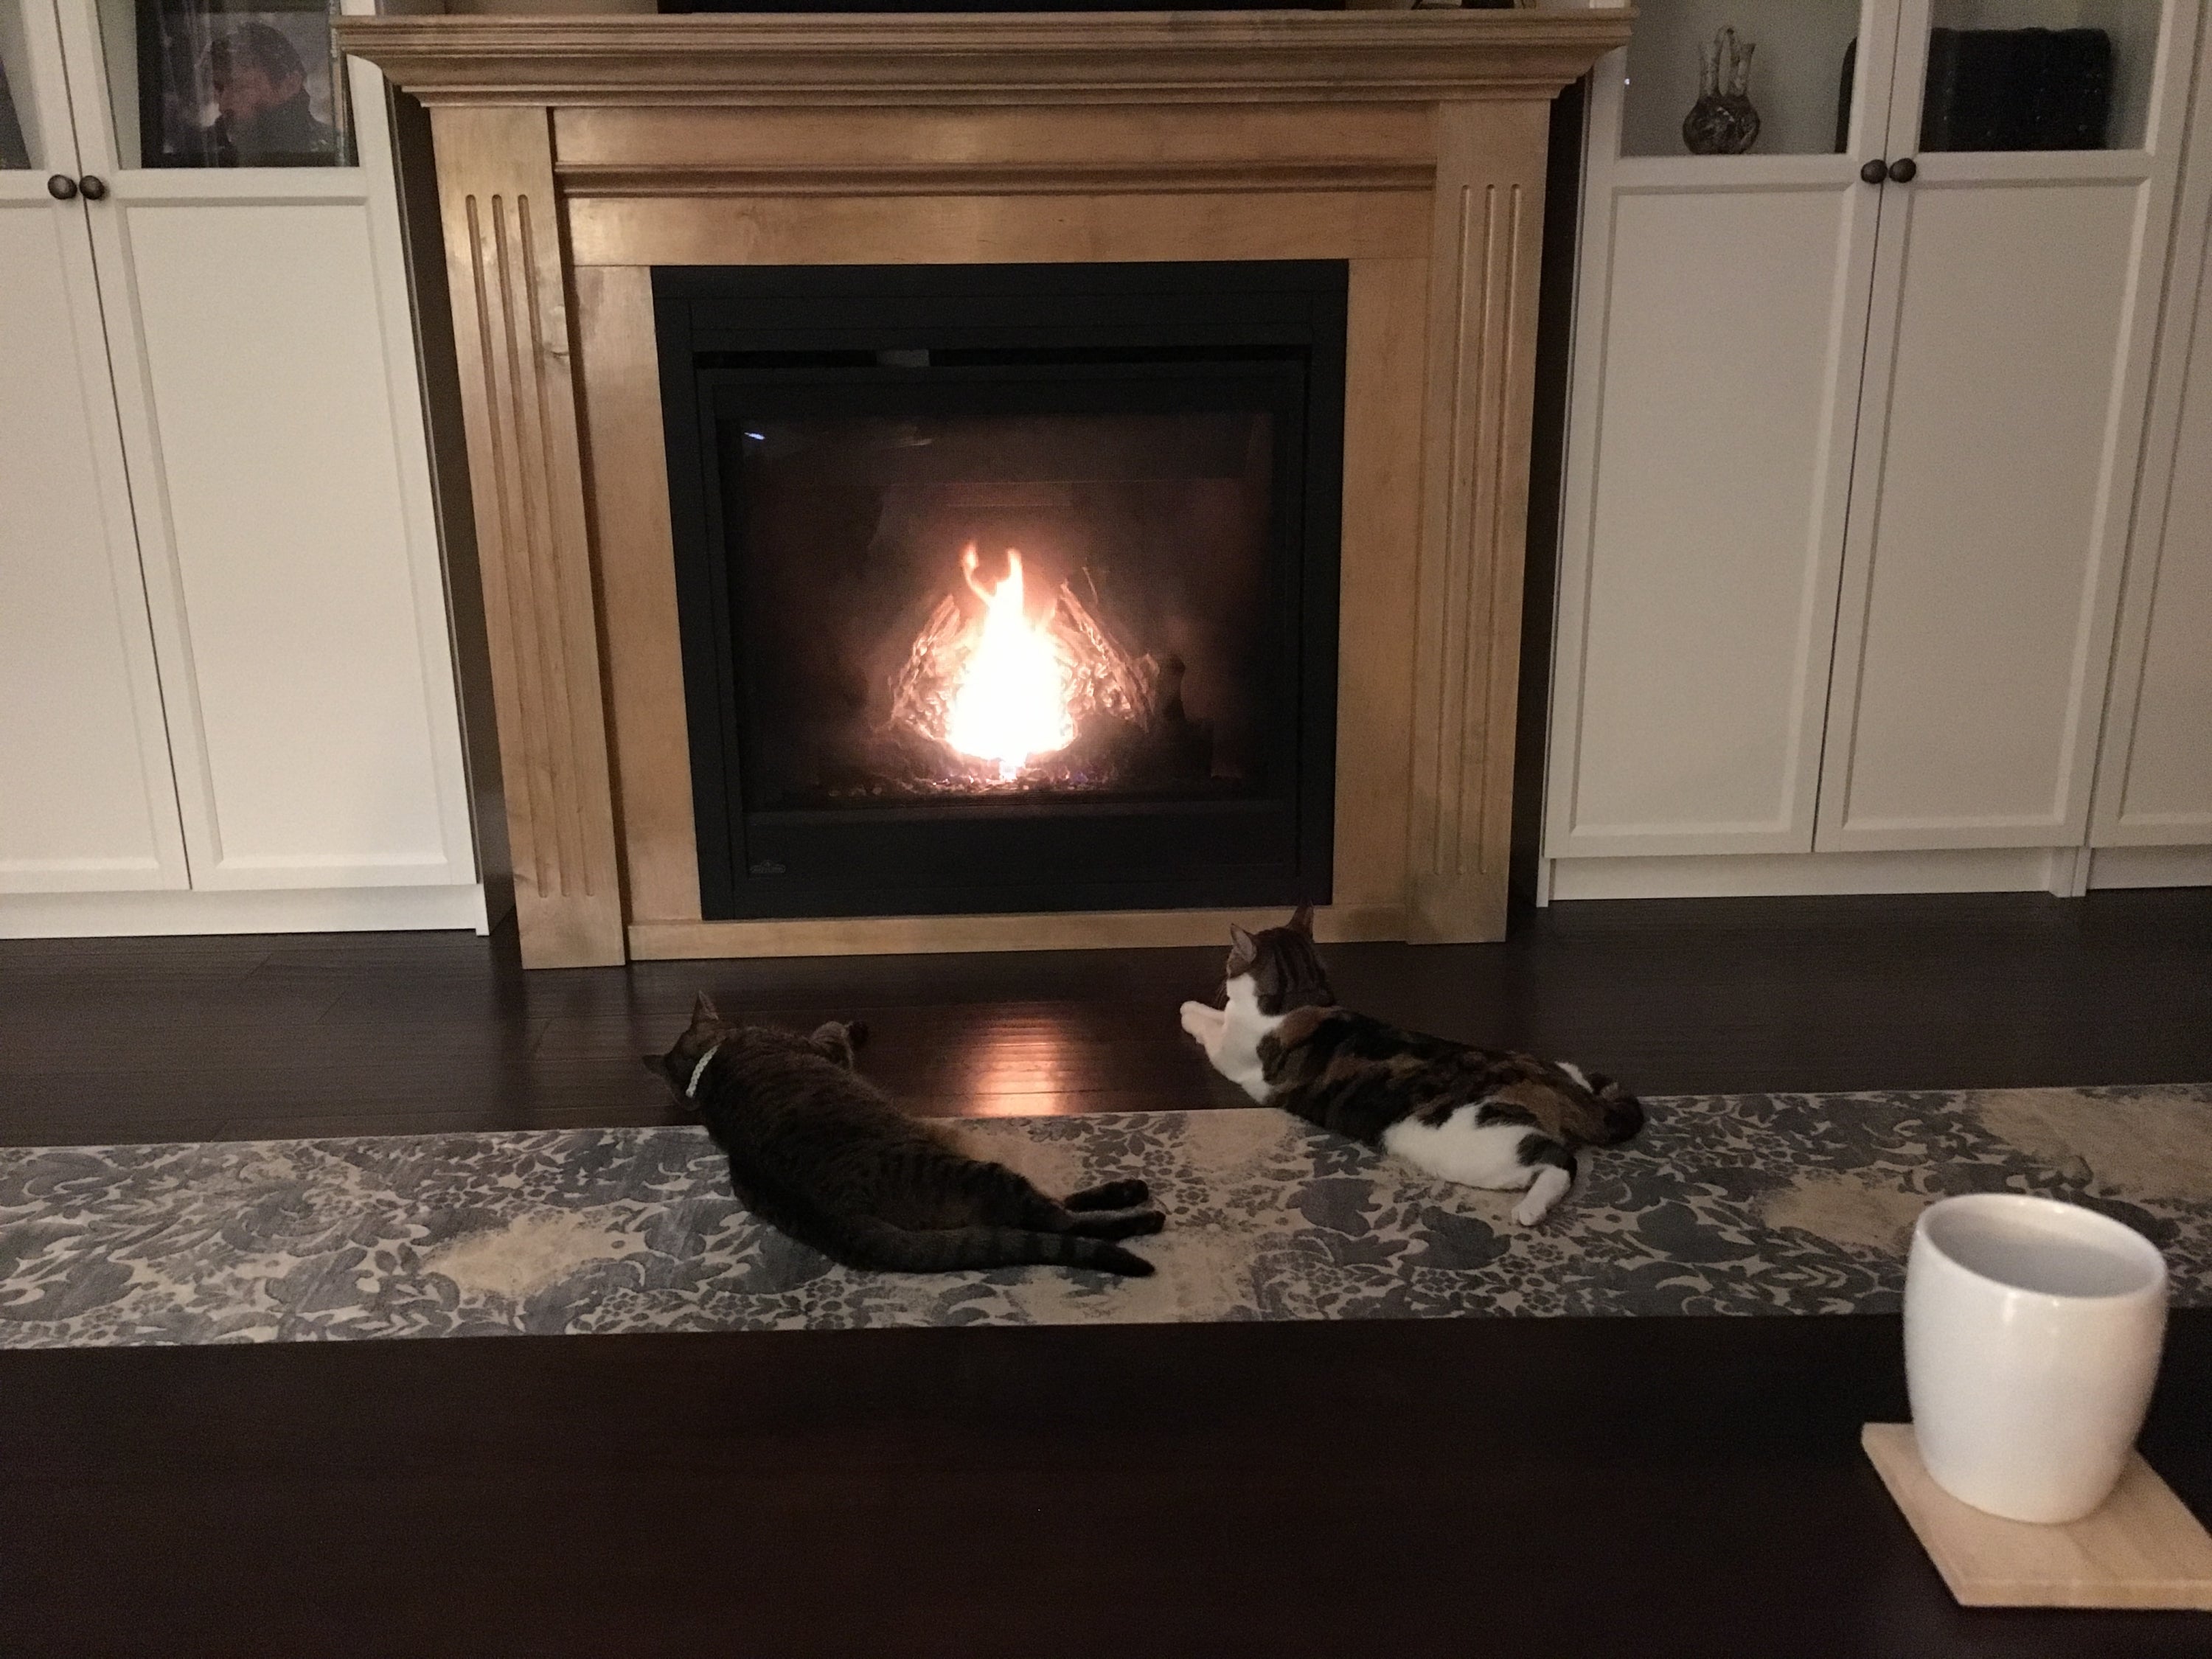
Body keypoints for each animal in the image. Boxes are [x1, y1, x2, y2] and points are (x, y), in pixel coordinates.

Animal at [646, 995, 1168, 1283]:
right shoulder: (822, 1047)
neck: (707, 1071)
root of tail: (840, 1219)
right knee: (1058, 1222)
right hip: (973, 1172)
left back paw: (1129, 1191)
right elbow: (831, 1028)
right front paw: (852, 1025)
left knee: (1052, 1210)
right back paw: (1142, 1213)